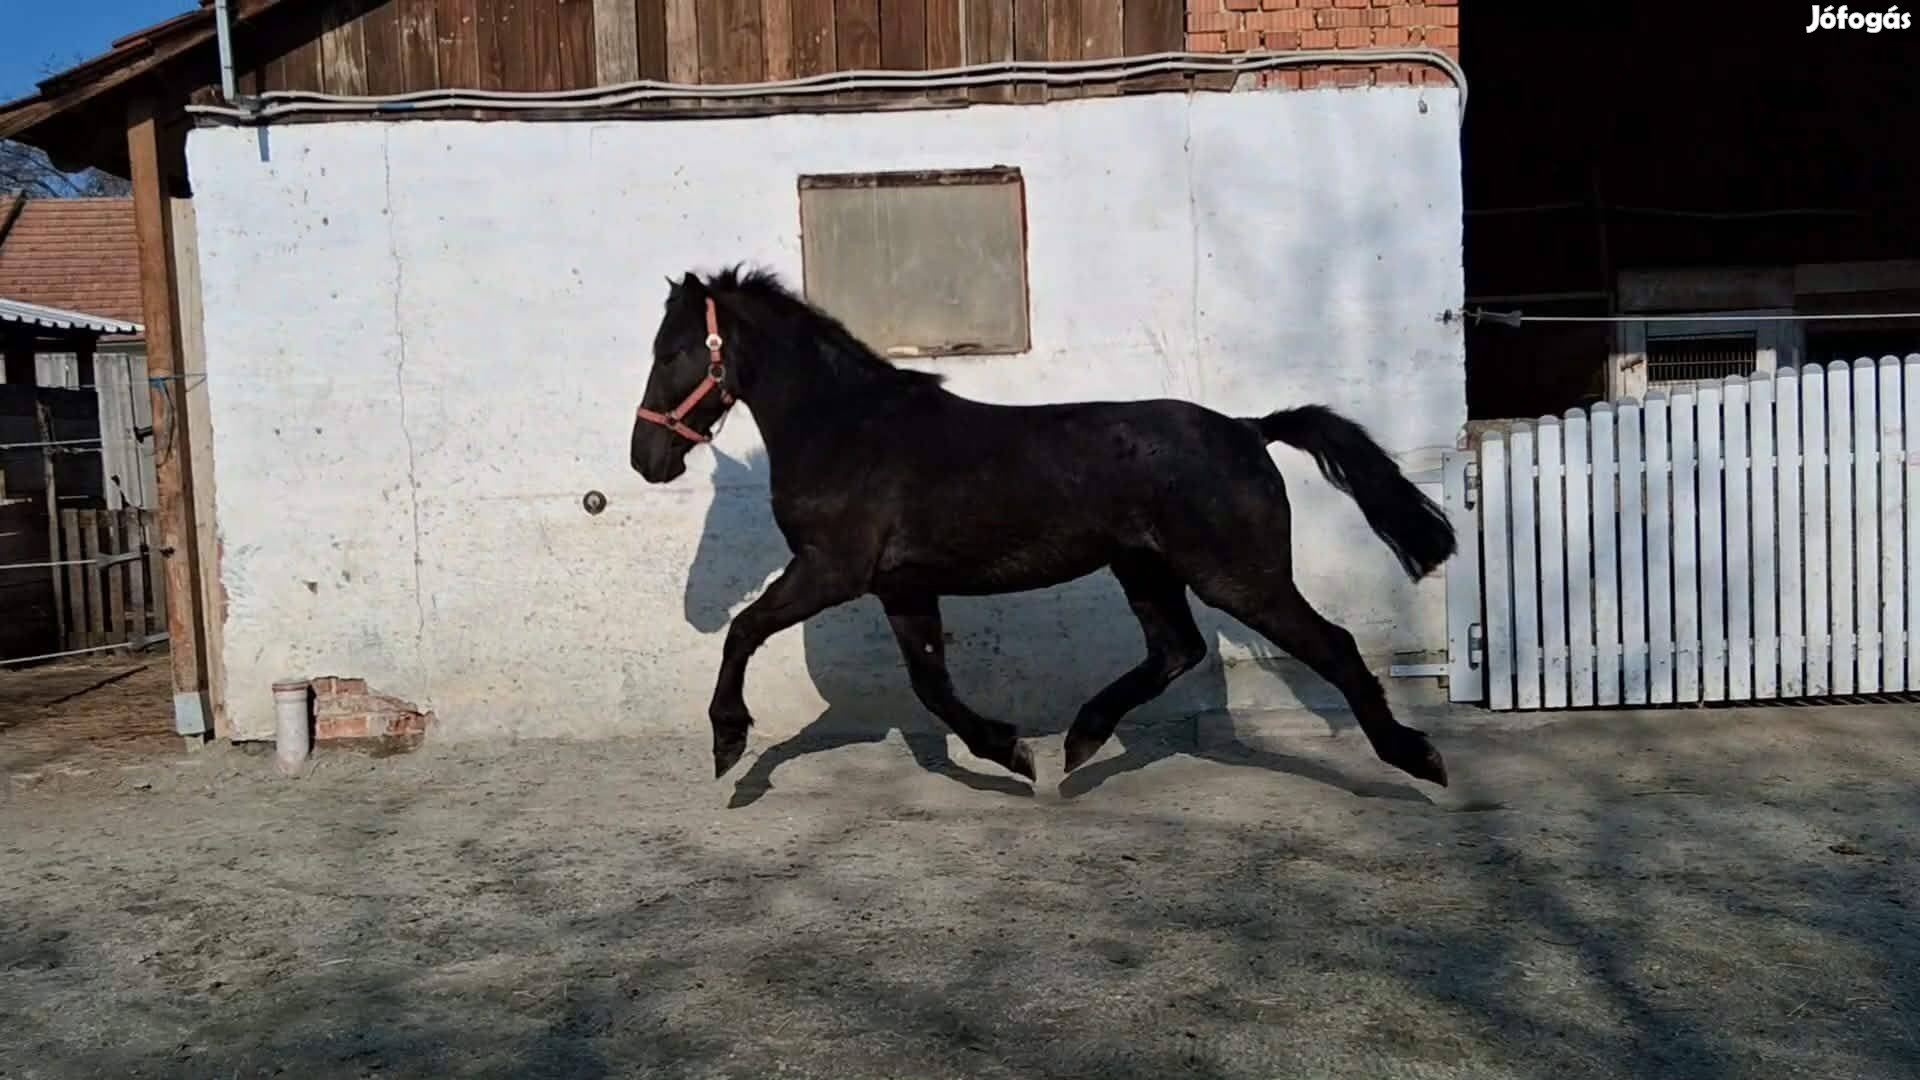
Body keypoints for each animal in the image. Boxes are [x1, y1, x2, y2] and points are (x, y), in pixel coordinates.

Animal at [630, 266, 1456, 789]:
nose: (648, 459)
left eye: (673, 352)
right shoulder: (902, 586)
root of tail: (1250, 430)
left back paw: (1418, 759)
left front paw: (727, 741)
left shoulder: (832, 570)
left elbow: (745, 629)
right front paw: (1012, 753)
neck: (846, 428)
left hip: (1239, 577)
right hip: (1145, 569)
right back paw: (1083, 740)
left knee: (1332, 645)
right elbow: (931, 684)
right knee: (1175, 650)